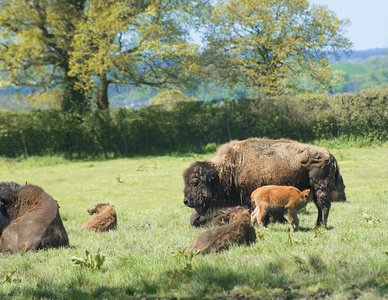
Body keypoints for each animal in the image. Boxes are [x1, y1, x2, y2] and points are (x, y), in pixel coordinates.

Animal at [183, 138, 348, 227]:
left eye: (195, 182)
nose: (186, 201)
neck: (230, 168)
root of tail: (329, 155)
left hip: (320, 188)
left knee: (323, 206)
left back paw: (321, 226)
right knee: (321, 207)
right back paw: (318, 225)